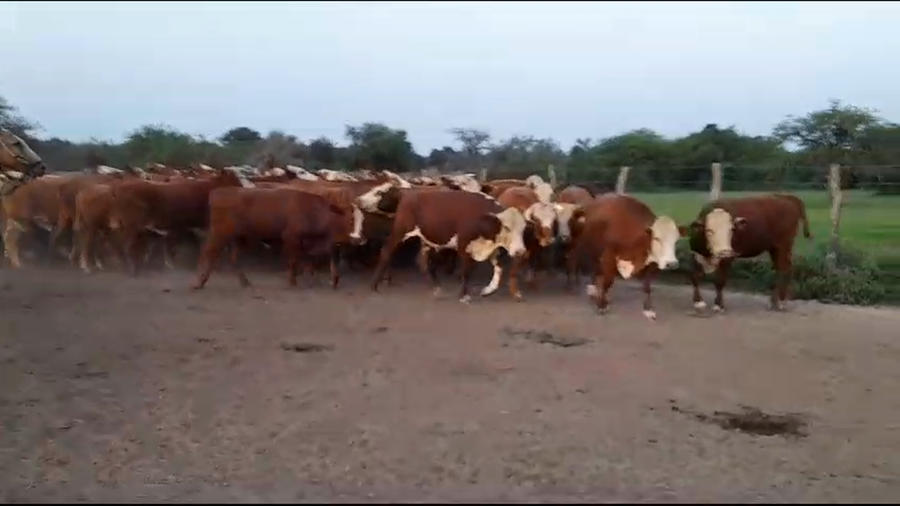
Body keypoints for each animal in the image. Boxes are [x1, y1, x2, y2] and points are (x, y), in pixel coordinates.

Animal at [191, 187, 351, 290]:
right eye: (349, 220)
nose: (353, 238)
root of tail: (218, 193)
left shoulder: (305, 243)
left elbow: (308, 259)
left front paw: (318, 280)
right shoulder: (291, 238)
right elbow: (295, 260)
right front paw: (293, 282)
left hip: (240, 238)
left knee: (231, 257)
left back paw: (246, 283)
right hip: (220, 234)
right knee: (209, 252)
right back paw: (198, 283)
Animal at [362, 188, 528, 303]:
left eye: (523, 229)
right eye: (506, 228)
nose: (520, 251)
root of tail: (407, 193)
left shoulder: (489, 247)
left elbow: (499, 267)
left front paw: (489, 289)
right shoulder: (463, 245)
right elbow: (467, 270)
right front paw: (464, 295)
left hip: (425, 239)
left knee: (422, 261)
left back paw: (436, 287)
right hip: (400, 231)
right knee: (386, 252)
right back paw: (374, 286)